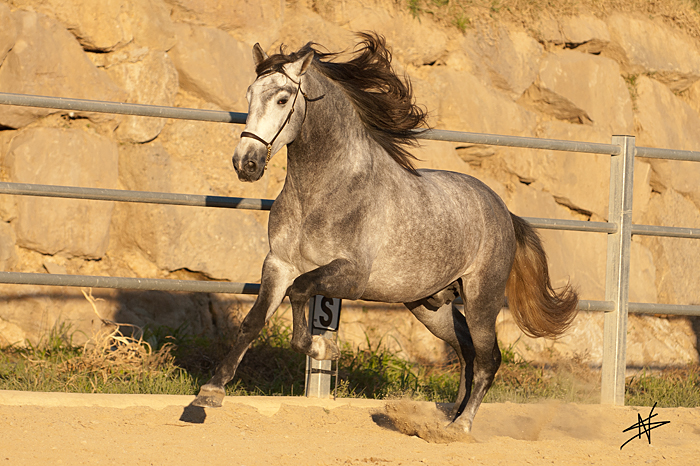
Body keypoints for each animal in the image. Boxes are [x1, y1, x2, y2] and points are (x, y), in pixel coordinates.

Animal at [194, 33, 576, 434]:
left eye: (283, 98)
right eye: (249, 94)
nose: (245, 163)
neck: (320, 192)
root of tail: (503, 211)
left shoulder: (351, 276)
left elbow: (300, 291)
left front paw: (323, 348)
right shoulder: (278, 264)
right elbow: (253, 322)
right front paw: (211, 391)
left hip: (481, 299)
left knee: (488, 357)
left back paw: (461, 427)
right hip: (429, 305)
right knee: (466, 350)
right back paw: (447, 417)